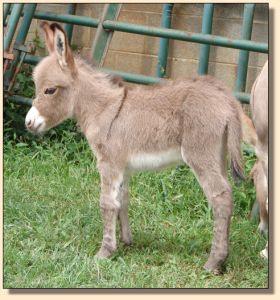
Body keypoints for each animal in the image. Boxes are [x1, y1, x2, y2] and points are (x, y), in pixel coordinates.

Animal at [26, 22, 245, 274]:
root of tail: (226, 99)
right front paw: (125, 241)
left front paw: (104, 252)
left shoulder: (108, 164)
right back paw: (223, 258)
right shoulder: (123, 167)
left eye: (50, 90)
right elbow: (123, 200)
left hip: (200, 155)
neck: (102, 109)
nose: (28, 123)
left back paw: (214, 262)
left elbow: (107, 204)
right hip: (218, 154)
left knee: (220, 197)